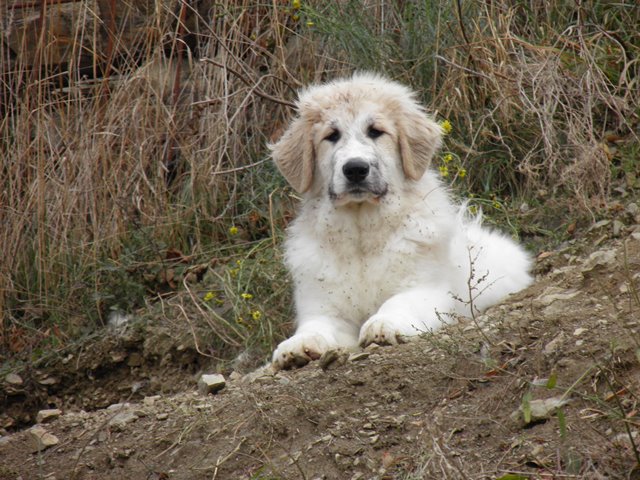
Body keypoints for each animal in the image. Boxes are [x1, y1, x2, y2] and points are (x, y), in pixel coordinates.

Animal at [268, 73, 532, 370]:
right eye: (331, 136)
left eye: (375, 131)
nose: (355, 169)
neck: (362, 233)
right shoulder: (324, 308)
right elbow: (316, 326)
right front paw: (297, 345)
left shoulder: (425, 289)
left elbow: (398, 303)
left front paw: (384, 324)